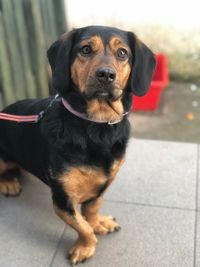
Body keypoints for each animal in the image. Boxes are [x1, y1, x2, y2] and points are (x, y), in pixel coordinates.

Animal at [0, 26, 156, 264]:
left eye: (122, 53)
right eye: (85, 49)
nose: (106, 75)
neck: (98, 125)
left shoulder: (102, 185)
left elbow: (92, 210)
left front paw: (99, 222)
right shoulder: (63, 199)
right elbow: (82, 226)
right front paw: (85, 247)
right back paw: (8, 183)